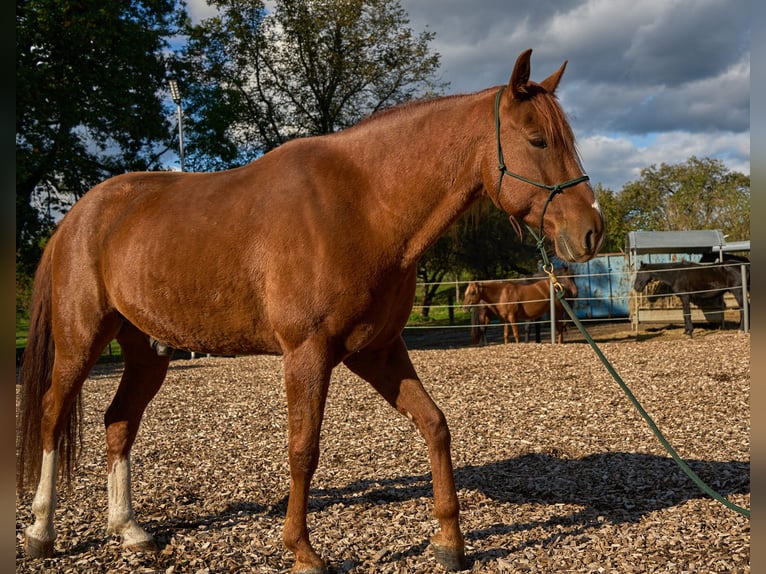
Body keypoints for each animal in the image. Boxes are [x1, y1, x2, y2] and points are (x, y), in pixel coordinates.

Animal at [15, 49, 604, 574]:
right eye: (537, 140)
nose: (591, 232)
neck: (363, 205)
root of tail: (77, 216)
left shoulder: (376, 351)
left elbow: (435, 425)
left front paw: (449, 543)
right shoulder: (308, 354)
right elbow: (304, 448)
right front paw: (302, 551)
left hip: (146, 353)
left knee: (119, 423)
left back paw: (130, 530)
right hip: (80, 341)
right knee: (50, 415)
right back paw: (41, 531)